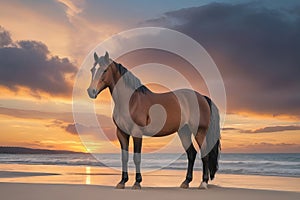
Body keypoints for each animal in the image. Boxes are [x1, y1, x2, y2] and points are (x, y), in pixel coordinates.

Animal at [86, 51, 220, 189]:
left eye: (105, 70)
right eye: (92, 70)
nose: (91, 91)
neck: (130, 101)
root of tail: (202, 97)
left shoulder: (137, 132)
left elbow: (136, 157)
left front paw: (137, 182)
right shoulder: (121, 133)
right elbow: (124, 157)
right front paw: (122, 182)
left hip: (199, 131)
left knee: (205, 154)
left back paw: (203, 183)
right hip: (184, 131)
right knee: (191, 154)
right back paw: (186, 182)